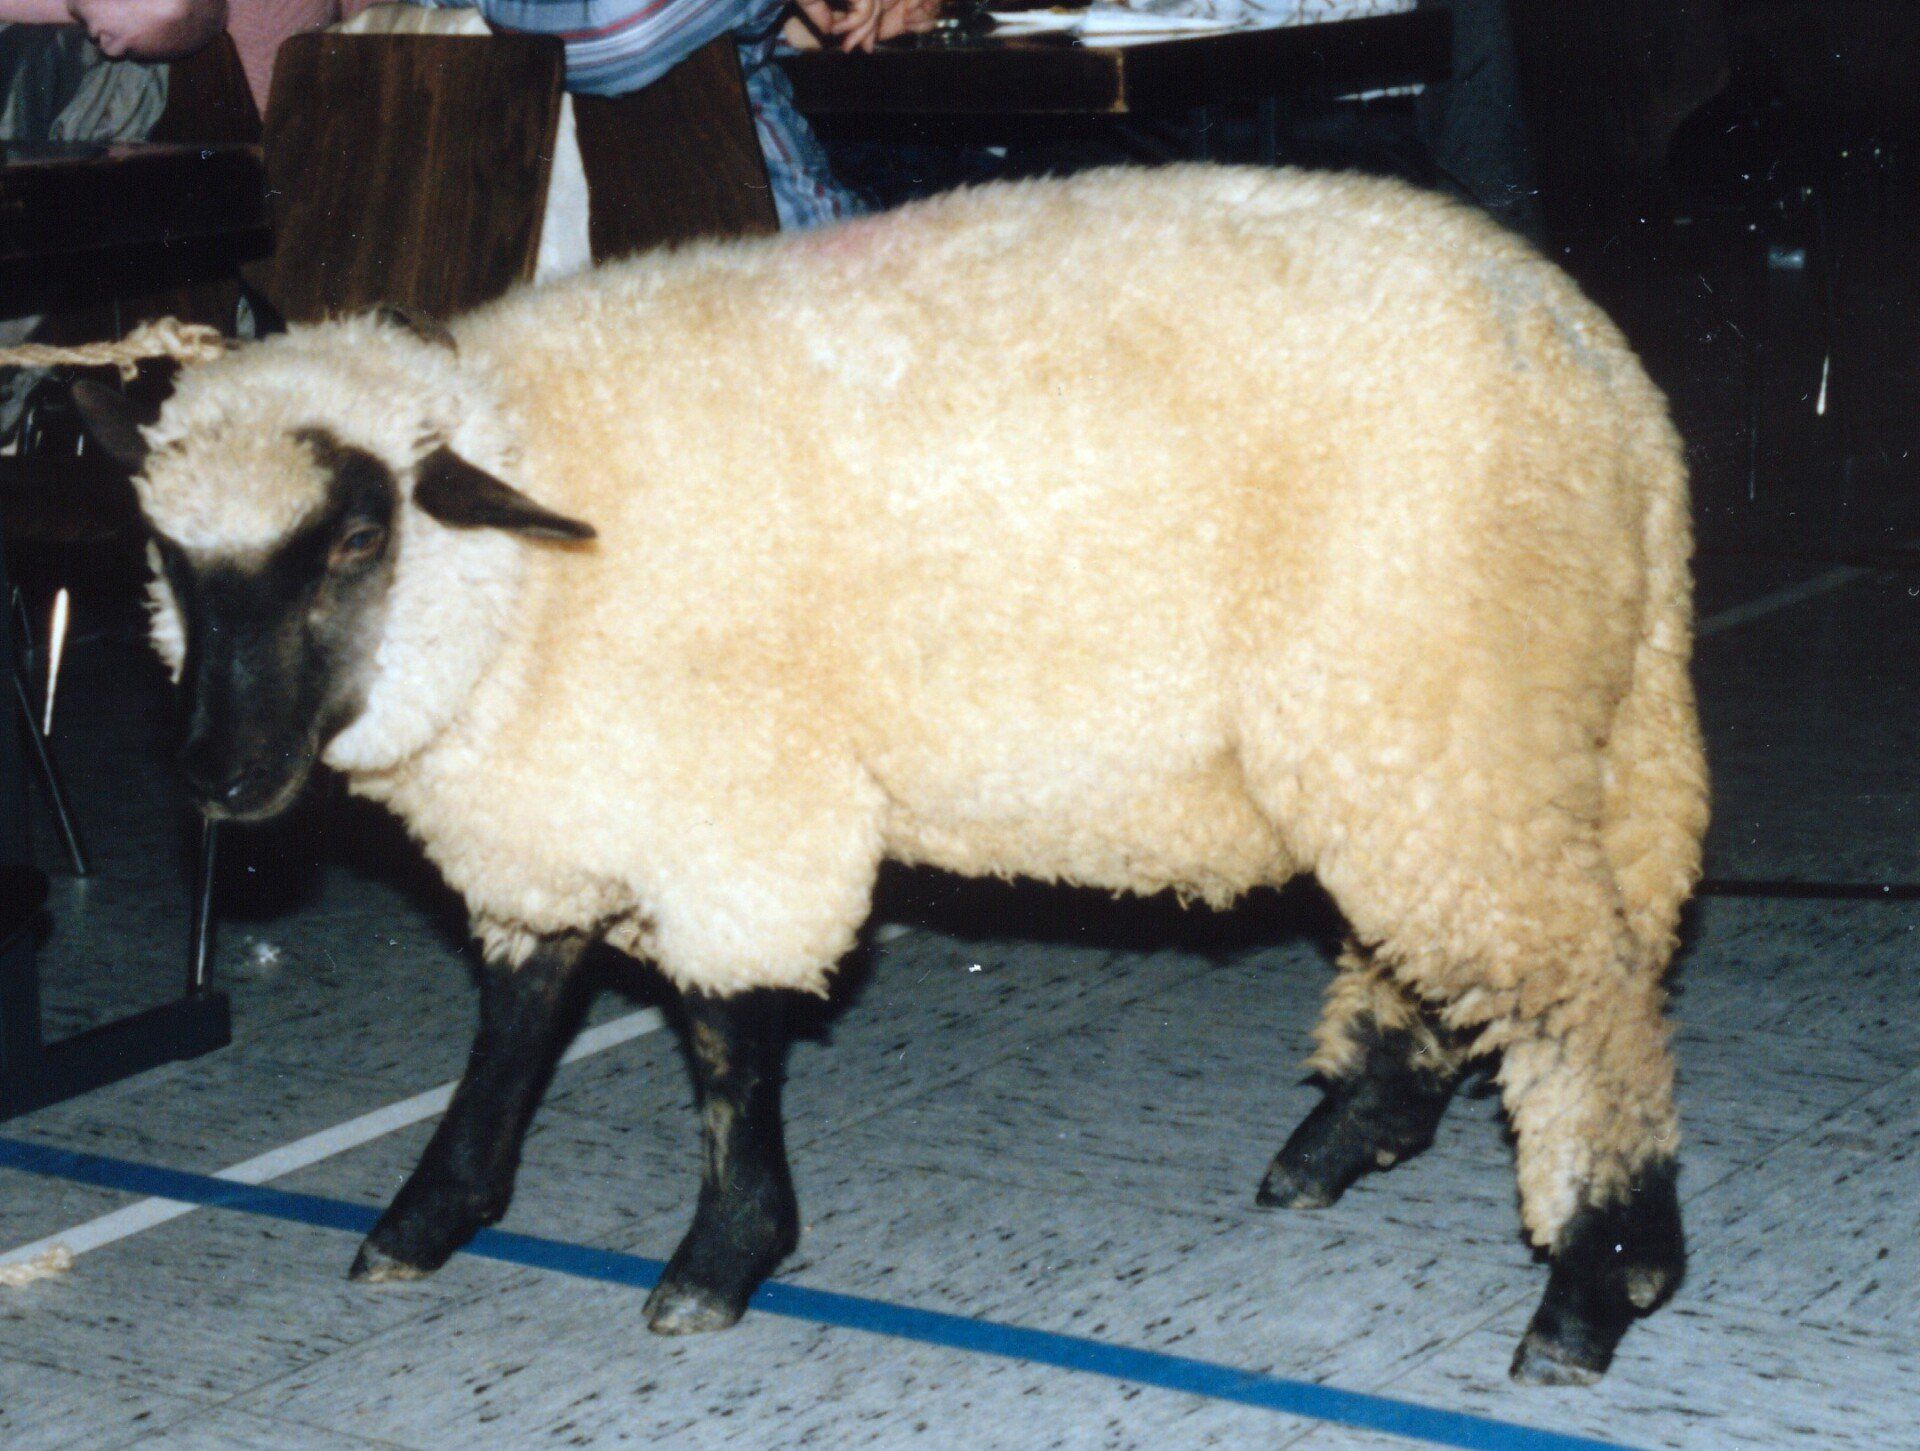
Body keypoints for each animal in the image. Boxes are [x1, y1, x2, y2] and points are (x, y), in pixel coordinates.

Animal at [73, 164, 1708, 1386]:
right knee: (1483, 956)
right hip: (1475, 733)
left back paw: (1594, 1280)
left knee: (1579, 993)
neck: (533, 566)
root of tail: (1613, 391)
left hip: (1444, 713)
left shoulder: (729, 802)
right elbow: (520, 1015)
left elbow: (726, 1034)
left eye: (355, 538)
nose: (218, 773)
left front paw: (723, 1252)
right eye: (168, 559)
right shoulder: (560, 809)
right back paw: (1355, 1131)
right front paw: (431, 1213)